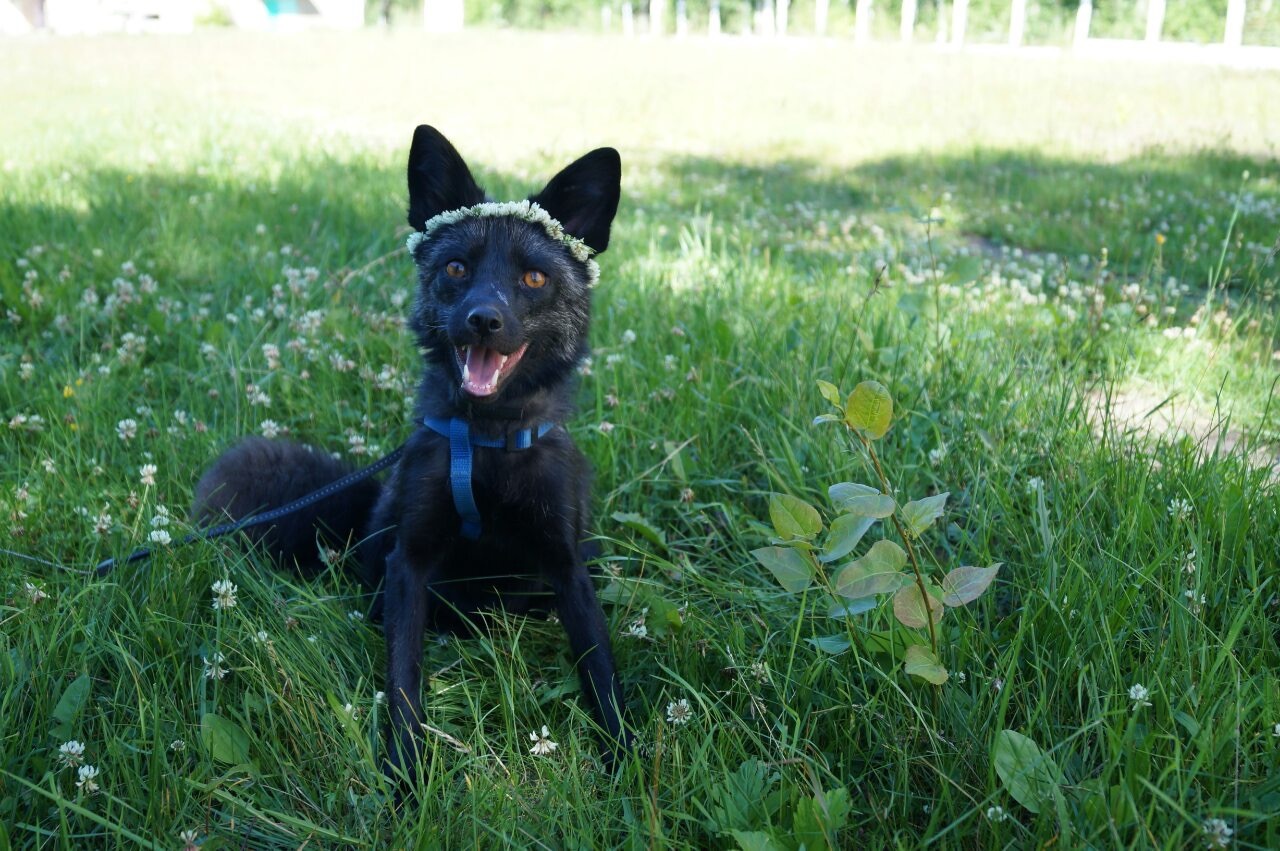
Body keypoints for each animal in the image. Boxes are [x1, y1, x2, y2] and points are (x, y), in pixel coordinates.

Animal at [192, 122, 627, 778]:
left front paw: (629, 760)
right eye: (456, 267)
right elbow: (403, 679)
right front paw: (404, 775)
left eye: (533, 278)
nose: (483, 320)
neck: (487, 443)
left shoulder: (567, 565)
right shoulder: (411, 562)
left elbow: (599, 666)